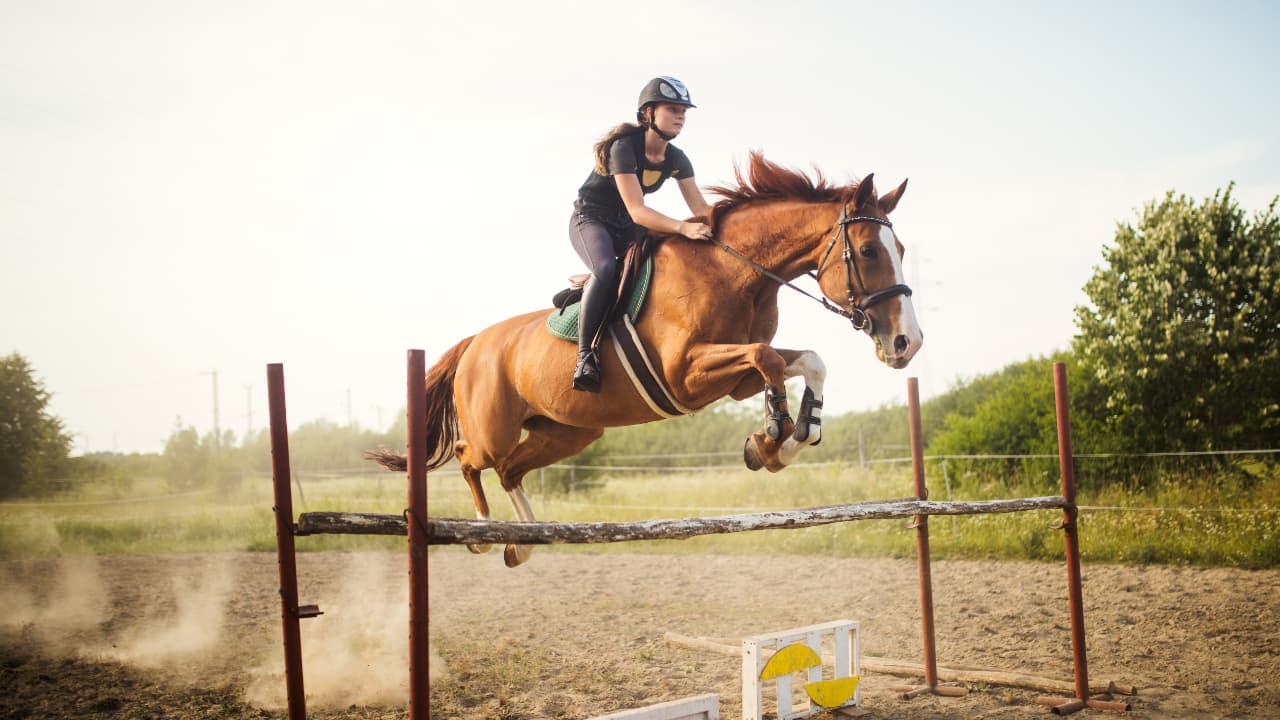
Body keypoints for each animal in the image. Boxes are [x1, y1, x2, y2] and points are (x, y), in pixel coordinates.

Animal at [371, 152, 921, 566]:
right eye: (869, 251)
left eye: (901, 248)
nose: (907, 343)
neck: (735, 274)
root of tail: (475, 342)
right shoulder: (686, 375)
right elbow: (767, 357)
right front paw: (771, 438)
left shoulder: (732, 381)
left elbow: (806, 361)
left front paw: (783, 441)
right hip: (494, 430)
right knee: (471, 458)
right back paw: (484, 533)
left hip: (568, 433)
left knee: (510, 470)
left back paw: (524, 542)